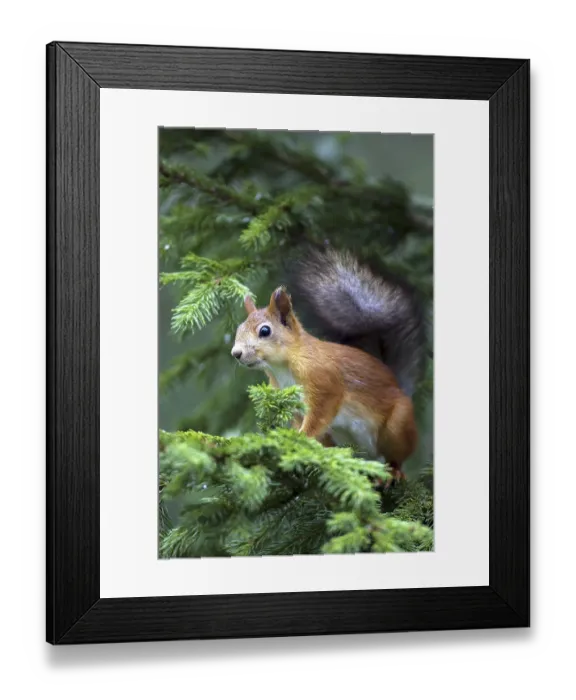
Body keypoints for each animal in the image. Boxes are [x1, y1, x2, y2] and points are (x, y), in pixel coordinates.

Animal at [231, 246, 427, 482]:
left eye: (265, 331)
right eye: (239, 329)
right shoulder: (291, 403)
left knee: (396, 455)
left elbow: (319, 415)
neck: (282, 368)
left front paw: (298, 439)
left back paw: (393, 472)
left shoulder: (324, 382)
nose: (236, 353)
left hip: (396, 426)